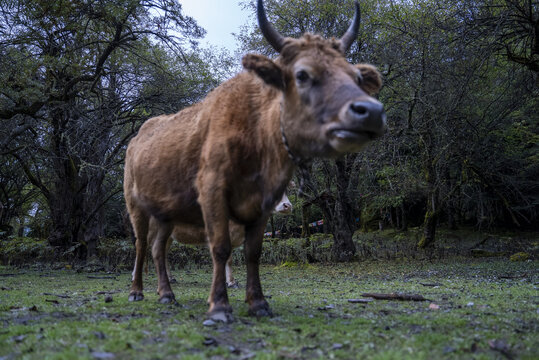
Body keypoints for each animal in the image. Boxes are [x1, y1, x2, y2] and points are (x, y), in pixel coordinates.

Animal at [125, 0, 388, 320]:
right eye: (302, 74)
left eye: (357, 77)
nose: (371, 111)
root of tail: (137, 138)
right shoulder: (212, 192)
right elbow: (221, 249)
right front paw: (219, 305)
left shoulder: (263, 202)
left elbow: (253, 252)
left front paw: (258, 302)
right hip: (136, 207)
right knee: (141, 246)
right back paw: (137, 291)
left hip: (166, 213)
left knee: (158, 249)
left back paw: (166, 293)